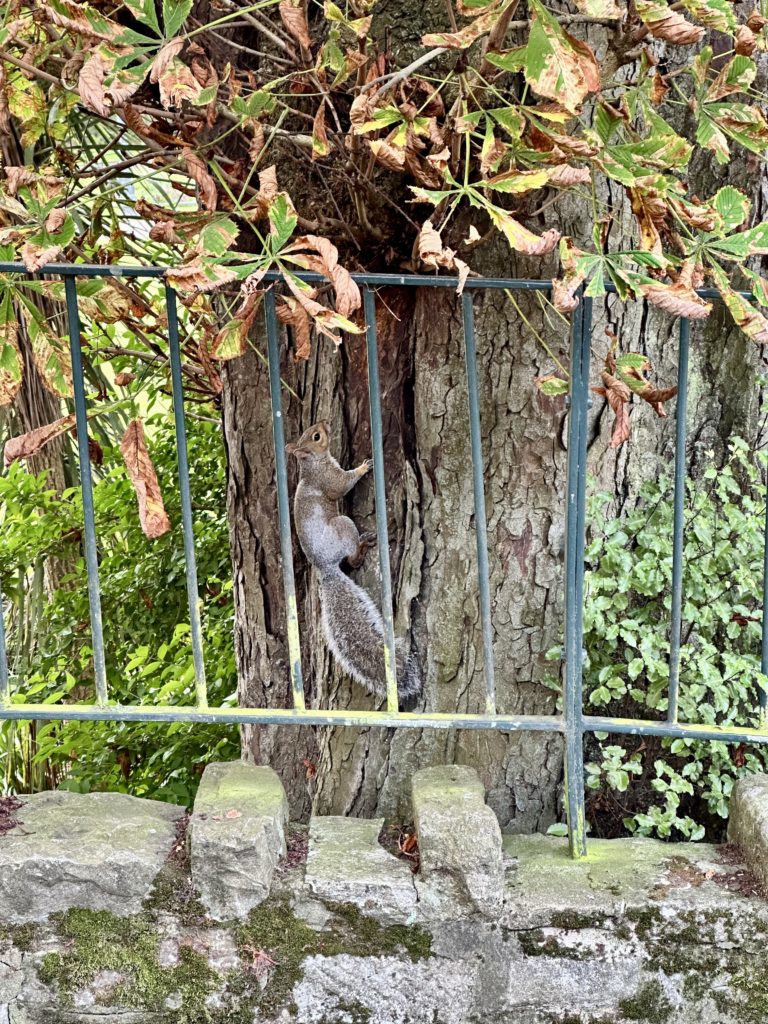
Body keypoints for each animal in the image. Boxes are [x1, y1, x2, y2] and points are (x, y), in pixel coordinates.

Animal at [286, 421, 421, 704]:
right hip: (344, 524)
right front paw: (363, 467)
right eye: (316, 436)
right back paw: (362, 546)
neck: (312, 464)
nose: (325, 423)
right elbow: (342, 485)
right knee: (351, 559)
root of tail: (325, 567)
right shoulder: (329, 479)